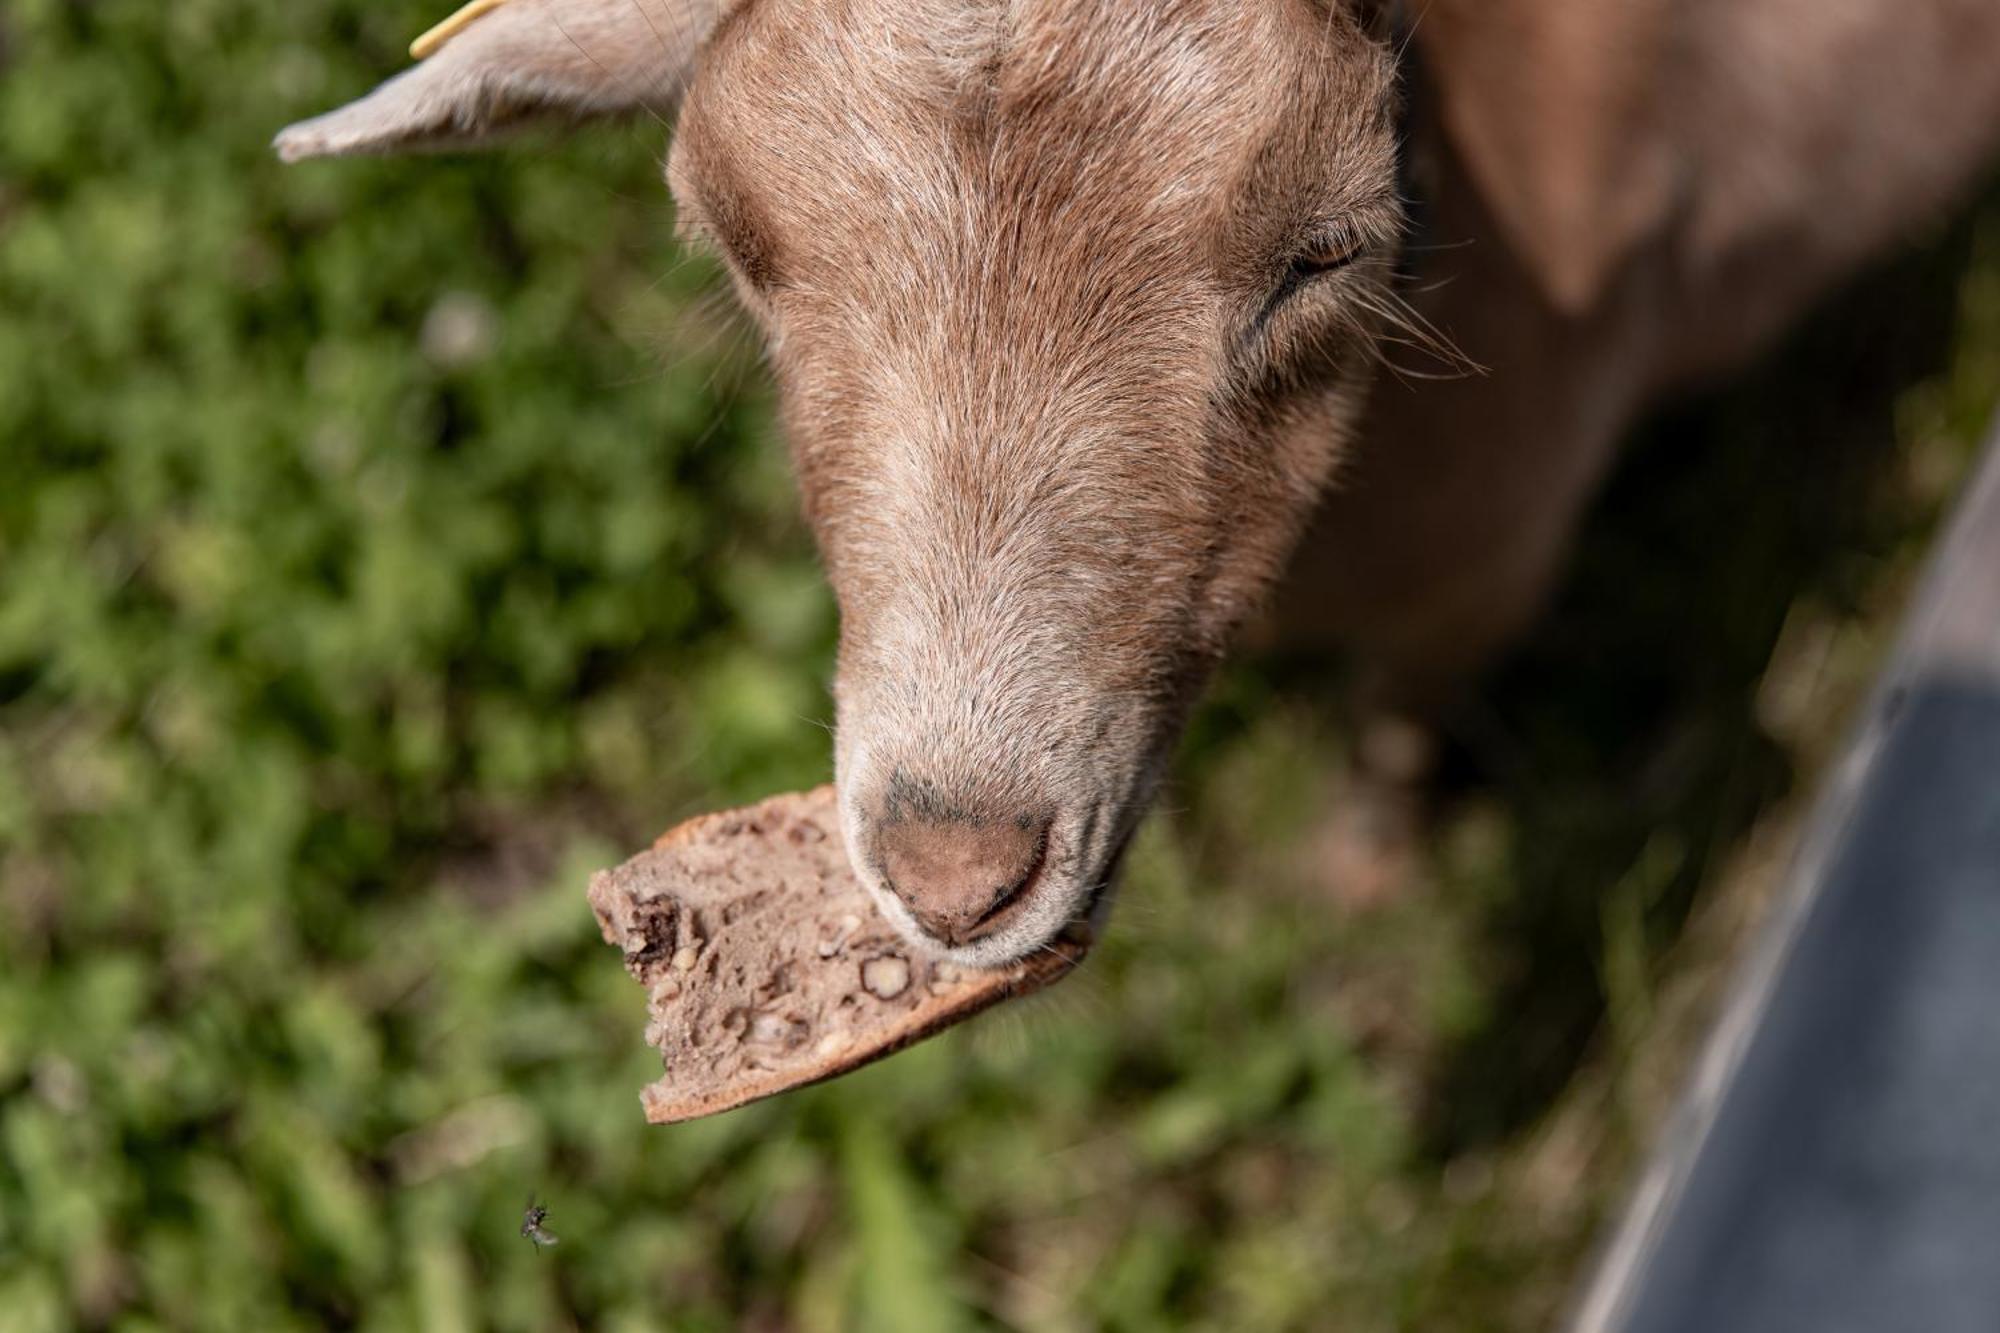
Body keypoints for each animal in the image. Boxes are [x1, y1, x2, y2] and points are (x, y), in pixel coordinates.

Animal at [278, 0, 2000, 960]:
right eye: (732, 239)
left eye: (1325, 249)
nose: (958, 874)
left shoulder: (1494, 560)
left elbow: (1401, 723)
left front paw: (1367, 865)